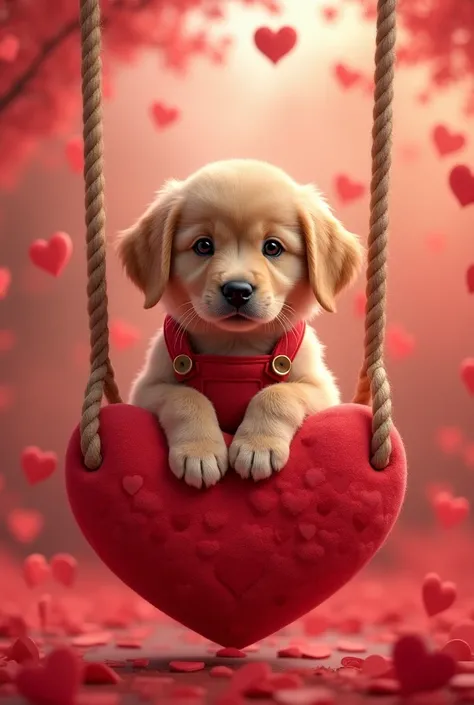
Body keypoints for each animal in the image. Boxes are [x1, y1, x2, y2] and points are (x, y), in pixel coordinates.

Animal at [117, 160, 362, 490]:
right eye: (203, 245)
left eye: (272, 247)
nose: (237, 290)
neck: (236, 347)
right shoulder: (147, 389)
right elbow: (185, 397)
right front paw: (200, 451)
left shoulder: (322, 391)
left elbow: (278, 393)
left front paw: (257, 447)